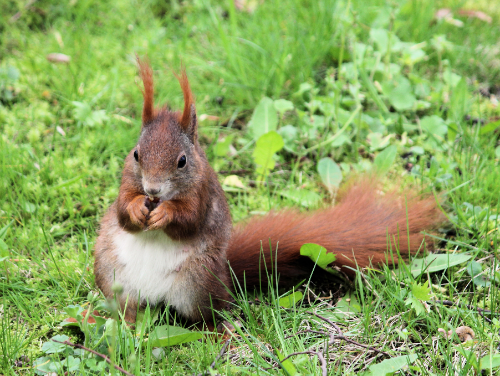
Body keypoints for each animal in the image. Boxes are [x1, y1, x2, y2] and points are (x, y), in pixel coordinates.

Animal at [94, 58, 446, 326]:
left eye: (182, 161)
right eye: (136, 154)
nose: (153, 189)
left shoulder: (203, 193)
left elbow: (190, 220)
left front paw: (166, 213)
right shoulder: (127, 183)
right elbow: (122, 211)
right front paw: (137, 207)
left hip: (197, 283)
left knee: (210, 317)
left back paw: (221, 333)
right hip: (112, 276)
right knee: (127, 312)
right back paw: (115, 323)